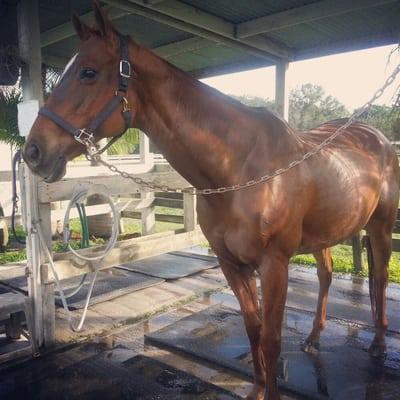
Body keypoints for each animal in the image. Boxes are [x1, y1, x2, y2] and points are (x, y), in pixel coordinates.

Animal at [23, 3, 398, 400]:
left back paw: (377, 343)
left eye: (89, 72)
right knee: (326, 276)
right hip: (323, 235)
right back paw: (313, 338)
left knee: (379, 276)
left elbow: (272, 339)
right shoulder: (231, 264)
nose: (33, 152)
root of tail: (376, 138)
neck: (240, 168)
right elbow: (252, 328)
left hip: (380, 227)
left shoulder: (274, 265)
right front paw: (257, 389)